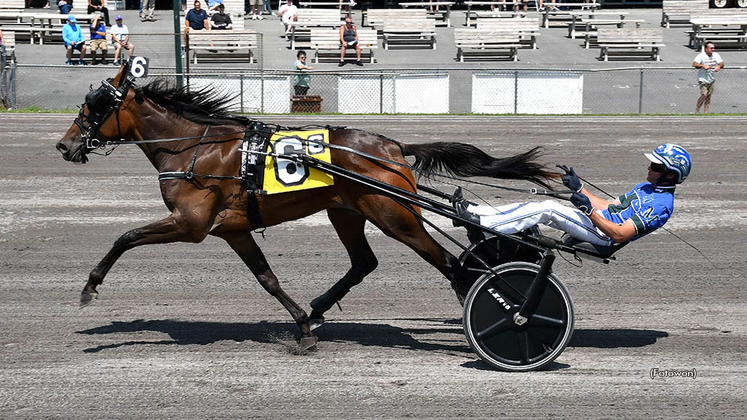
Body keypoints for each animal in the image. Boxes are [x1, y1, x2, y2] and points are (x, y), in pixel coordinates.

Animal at [57, 63, 560, 352]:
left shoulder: (190, 223)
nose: (64, 145)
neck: (195, 148)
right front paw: (301, 326)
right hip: (348, 211)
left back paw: (493, 313)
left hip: (395, 215)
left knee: (451, 264)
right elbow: (267, 279)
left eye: (94, 105)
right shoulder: (233, 229)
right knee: (364, 261)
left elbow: (125, 237)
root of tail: (394, 147)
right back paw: (319, 308)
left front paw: (89, 287)